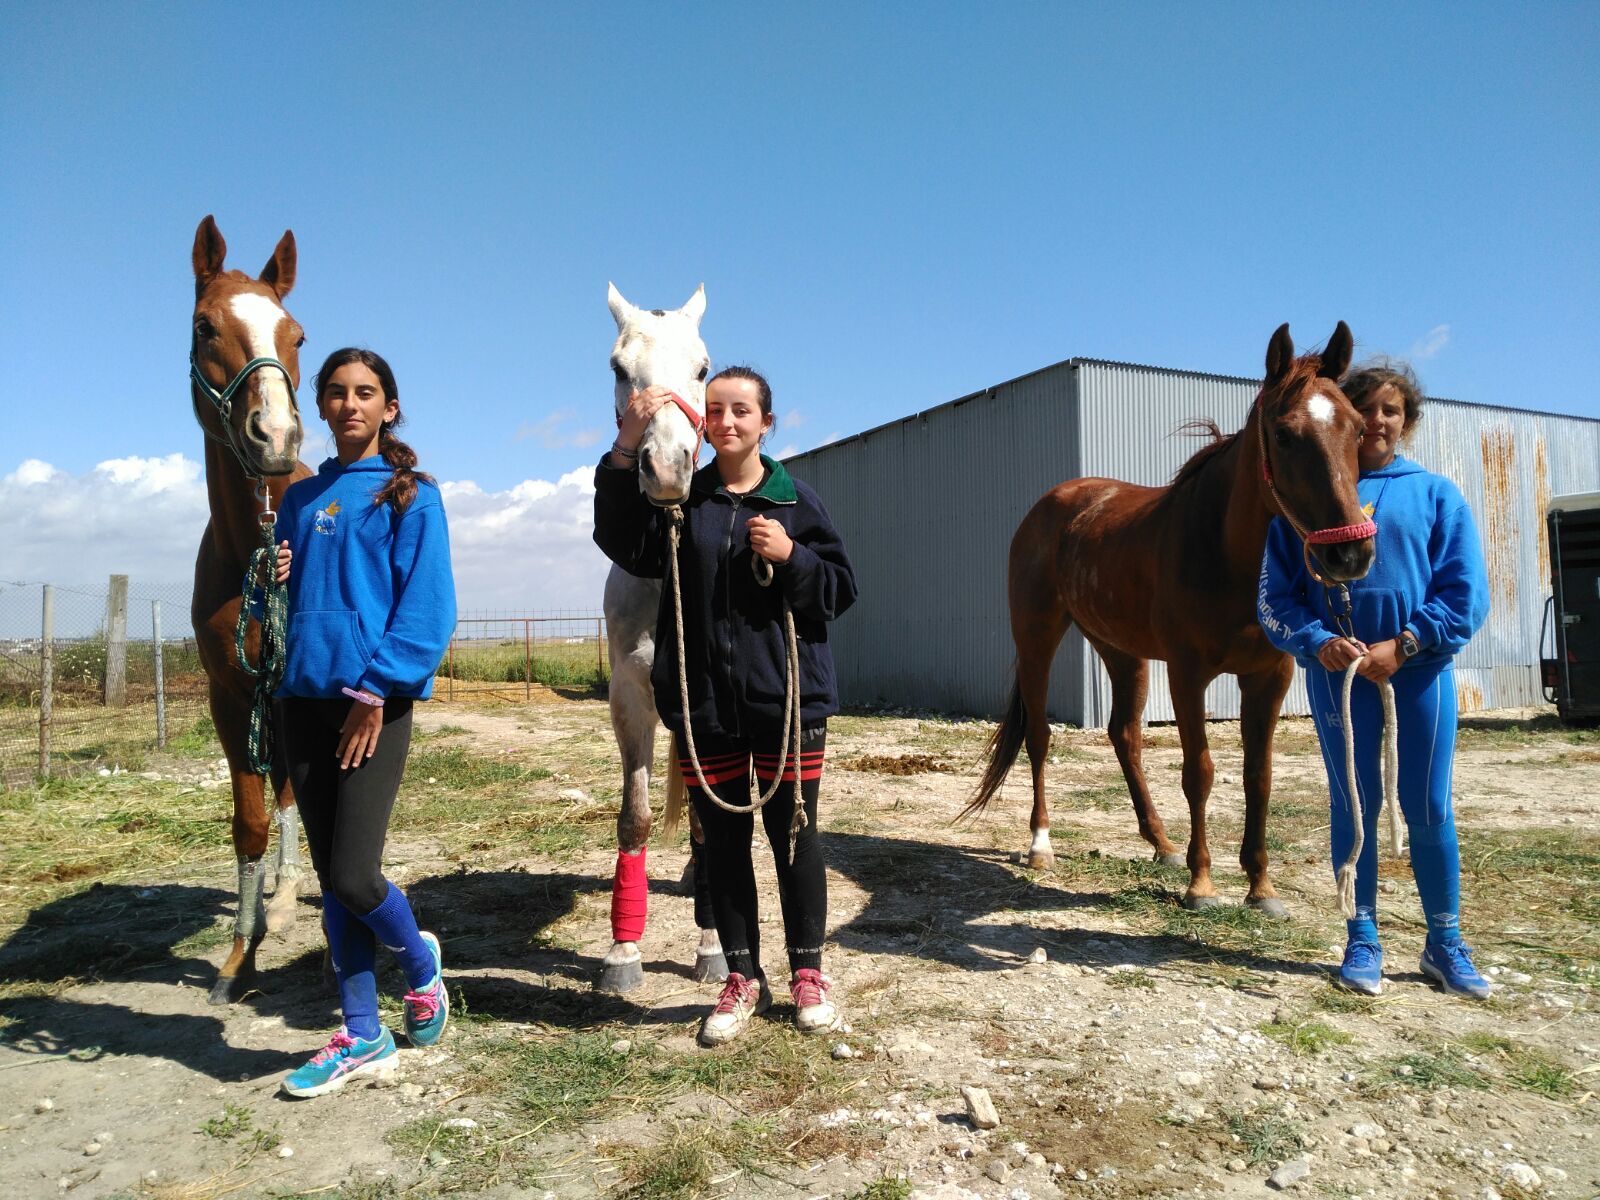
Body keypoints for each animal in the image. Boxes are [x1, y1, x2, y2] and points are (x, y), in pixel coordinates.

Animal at [960, 324, 1376, 915]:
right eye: (1284, 434)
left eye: (1358, 429)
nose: (1350, 555)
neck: (1224, 553)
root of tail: (1053, 503)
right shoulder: (1187, 674)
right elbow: (1198, 772)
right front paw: (1202, 885)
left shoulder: (1269, 676)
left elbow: (1259, 776)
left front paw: (1261, 887)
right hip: (1038, 635)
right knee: (1039, 735)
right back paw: (1042, 845)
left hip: (1121, 650)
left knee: (1125, 736)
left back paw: (1162, 843)